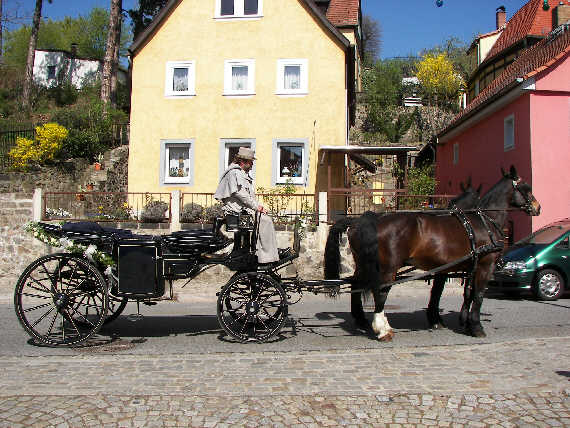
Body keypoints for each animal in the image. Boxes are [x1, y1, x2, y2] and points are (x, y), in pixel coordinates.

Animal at [324, 166, 541, 340]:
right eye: (526, 188)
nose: (537, 207)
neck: (482, 222)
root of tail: (365, 220)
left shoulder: (459, 266)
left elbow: (460, 293)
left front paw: (459, 321)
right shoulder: (484, 265)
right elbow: (477, 295)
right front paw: (475, 327)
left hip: (365, 263)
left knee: (356, 284)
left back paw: (362, 320)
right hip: (388, 268)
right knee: (381, 293)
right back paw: (382, 329)